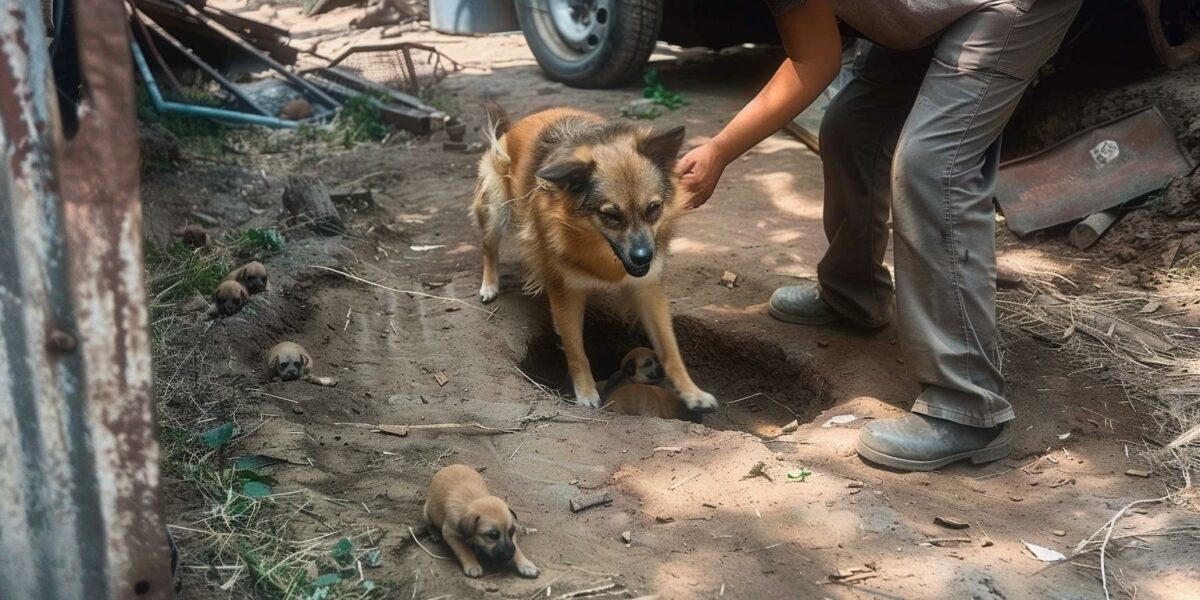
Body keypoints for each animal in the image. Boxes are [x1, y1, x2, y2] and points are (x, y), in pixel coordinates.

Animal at [465, 103, 710, 412]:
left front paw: (692, 392)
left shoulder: (648, 290)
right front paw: (585, 392)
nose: (644, 257)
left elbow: (669, 348)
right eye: (611, 215)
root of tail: (516, 125)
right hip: (496, 207)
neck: (598, 249)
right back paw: (489, 285)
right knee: (488, 246)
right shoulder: (564, 292)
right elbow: (575, 348)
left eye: (654, 208)